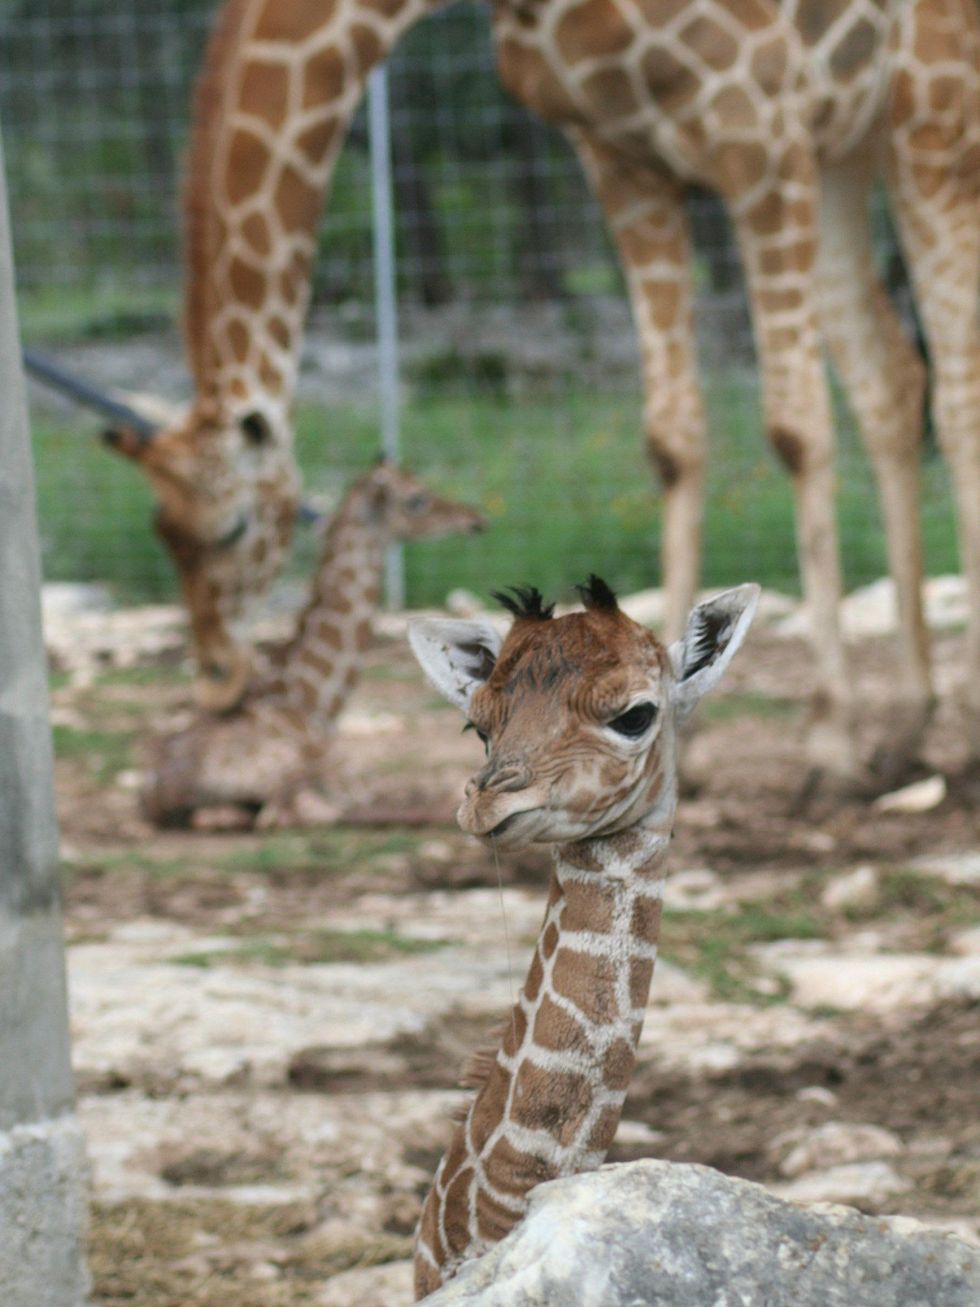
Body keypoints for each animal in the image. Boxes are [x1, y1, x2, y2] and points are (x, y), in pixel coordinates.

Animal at [106, 0, 980, 783]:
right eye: (162, 532)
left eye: (233, 529)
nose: (218, 680)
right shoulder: (624, 156)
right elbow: (673, 439)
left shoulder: (758, 131)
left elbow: (795, 428)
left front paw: (829, 747)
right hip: (852, 141)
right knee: (892, 378)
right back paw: (907, 726)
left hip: (927, 115)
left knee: (953, 388)